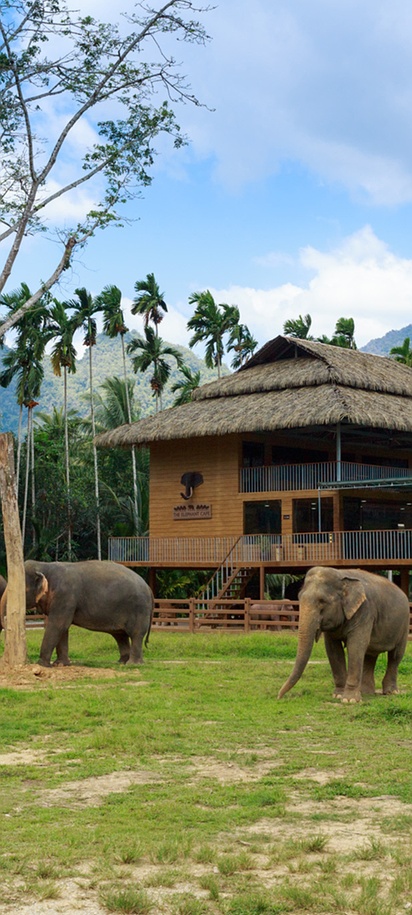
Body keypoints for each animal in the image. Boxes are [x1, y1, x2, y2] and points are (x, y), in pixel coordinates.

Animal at [3, 559, 153, 667]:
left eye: (22, 590)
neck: (45, 566)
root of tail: (149, 589)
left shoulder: (65, 596)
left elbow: (58, 625)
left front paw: (41, 665)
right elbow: (63, 629)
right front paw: (61, 664)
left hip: (139, 609)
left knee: (136, 634)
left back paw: (132, 664)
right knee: (120, 635)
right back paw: (121, 662)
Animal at [278, 566, 410, 703]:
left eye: (322, 601)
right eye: (299, 598)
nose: (279, 697)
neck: (341, 574)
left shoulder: (365, 611)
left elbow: (355, 647)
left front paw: (349, 700)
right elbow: (333, 650)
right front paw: (338, 695)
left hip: (404, 625)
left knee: (395, 655)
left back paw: (391, 692)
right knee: (370, 656)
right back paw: (366, 692)